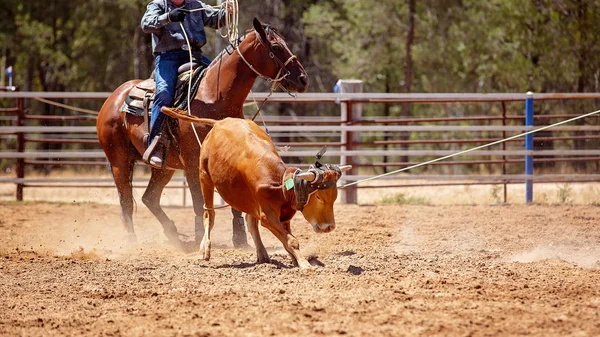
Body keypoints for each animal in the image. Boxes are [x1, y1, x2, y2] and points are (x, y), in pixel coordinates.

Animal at [97, 19, 310, 249]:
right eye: (276, 47)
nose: (303, 79)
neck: (213, 99)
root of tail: (114, 97)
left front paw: (240, 239)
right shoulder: (192, 163)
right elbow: (199, 202)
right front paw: (201, 235)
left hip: (164, 168)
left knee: (149, 198)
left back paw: (173, 234)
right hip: (119, 161)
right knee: (126, 200)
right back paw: (132, 241)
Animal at [164, 107, 352, 268]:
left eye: (334, 197)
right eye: (319, 197)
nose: (329, 227)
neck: (280, 184)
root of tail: (219, 123)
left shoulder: (285, 215)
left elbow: (287, 239)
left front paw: (296, 260)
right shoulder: (267, 216)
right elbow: (291, 240)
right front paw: (305, 265)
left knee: (250, 222)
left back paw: (262, 254)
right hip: (204, 177)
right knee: (209, 214)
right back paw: (205, 248)